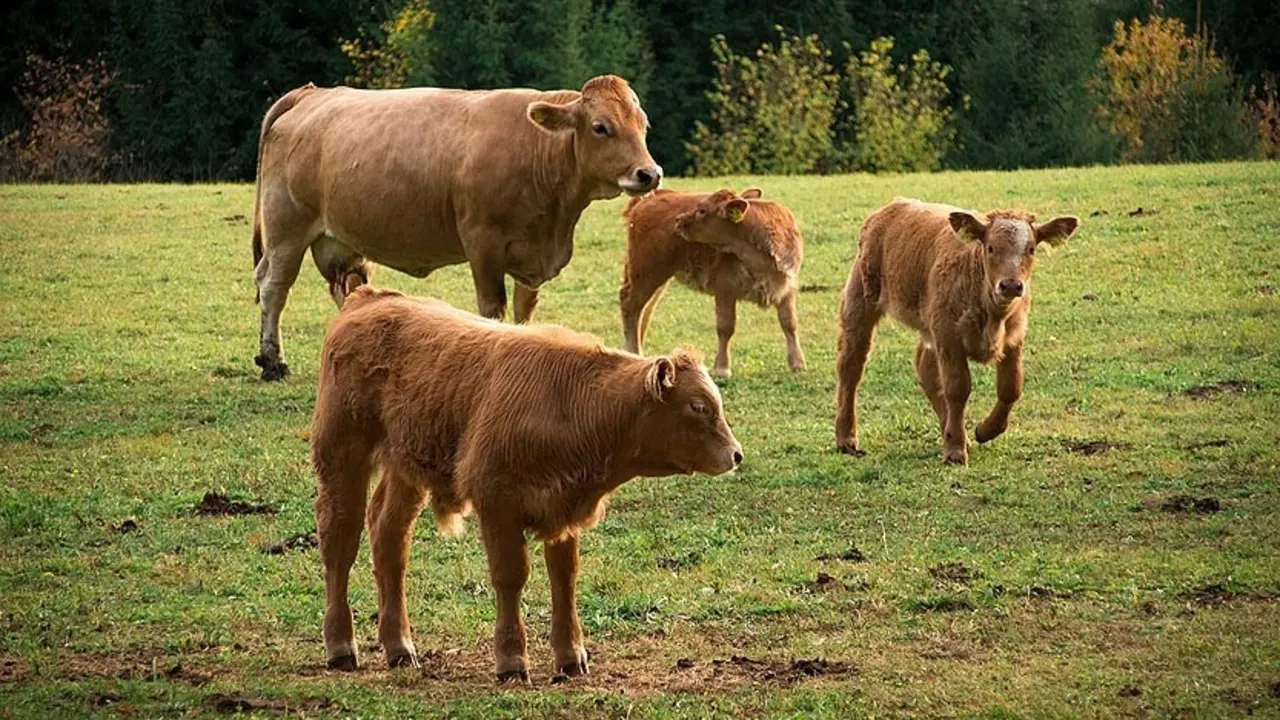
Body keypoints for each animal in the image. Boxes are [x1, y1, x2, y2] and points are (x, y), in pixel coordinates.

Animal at [251, 74, 662, 381]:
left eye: (643, 125)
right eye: (601, 127)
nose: (649, 174)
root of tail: (313, 93)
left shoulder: (532, 254)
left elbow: (525, 309)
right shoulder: (483, 244)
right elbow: (493, 308)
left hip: (338, 241)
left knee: (347, 288)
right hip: (286, 227)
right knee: (274, 286)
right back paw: (272, 362)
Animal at [311, 286, 742, 682]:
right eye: (698, 406)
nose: (736, 454)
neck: (573, 401)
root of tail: (370, 298)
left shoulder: (564, 505)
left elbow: (564, 578)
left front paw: (570, 657)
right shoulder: (497, 502)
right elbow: (510, 576)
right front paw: (512, 660)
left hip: (406, 468)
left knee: (390, 541)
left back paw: (399, 646)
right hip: (342, 456)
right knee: (339, 542)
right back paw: (341, 645)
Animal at [618, 188, 806, 378]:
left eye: (702, 210)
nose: (678, 219)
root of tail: (651, 196)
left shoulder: (788, 288)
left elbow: (789, 323)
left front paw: (797, 364)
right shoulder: (725, 288)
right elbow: (726, 327)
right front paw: (722, 368)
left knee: (645, 308)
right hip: (646, 271)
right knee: (631, 305)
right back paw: (634, 351)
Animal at [834, 198, 1079, 464]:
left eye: (1031, 249)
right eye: (990, 248)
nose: (1011, 285)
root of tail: (891, 208)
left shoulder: (1014, 338)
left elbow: (1011, 387)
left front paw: (984, 431)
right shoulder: (949, 338)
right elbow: (957, 389)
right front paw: (955, 450)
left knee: (925, 369)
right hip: (860, 301)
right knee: (851, 366)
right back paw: (846, 438)